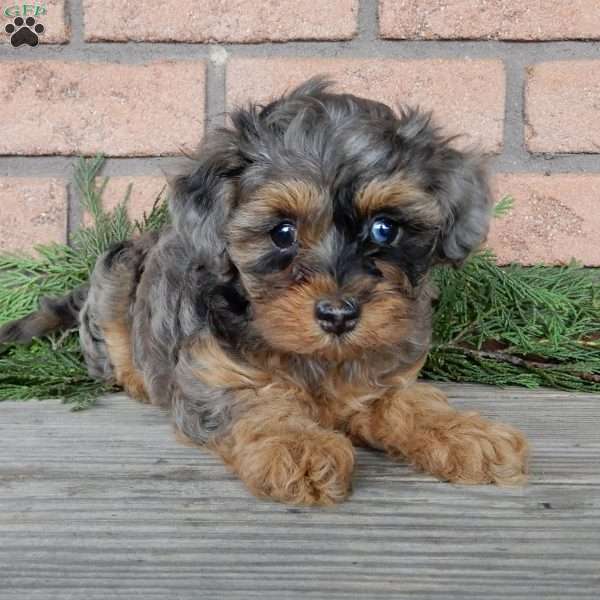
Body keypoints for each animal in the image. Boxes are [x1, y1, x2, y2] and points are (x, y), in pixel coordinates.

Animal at [0, 77, 528, 504]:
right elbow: (255, 405)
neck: (316, 359)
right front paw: (300, 447)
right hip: (117, 270)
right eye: (282, 232)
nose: (338, 315)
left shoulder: (383, 374)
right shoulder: (209, 378)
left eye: (385, 228)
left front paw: (466, 433)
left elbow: (411, 402)